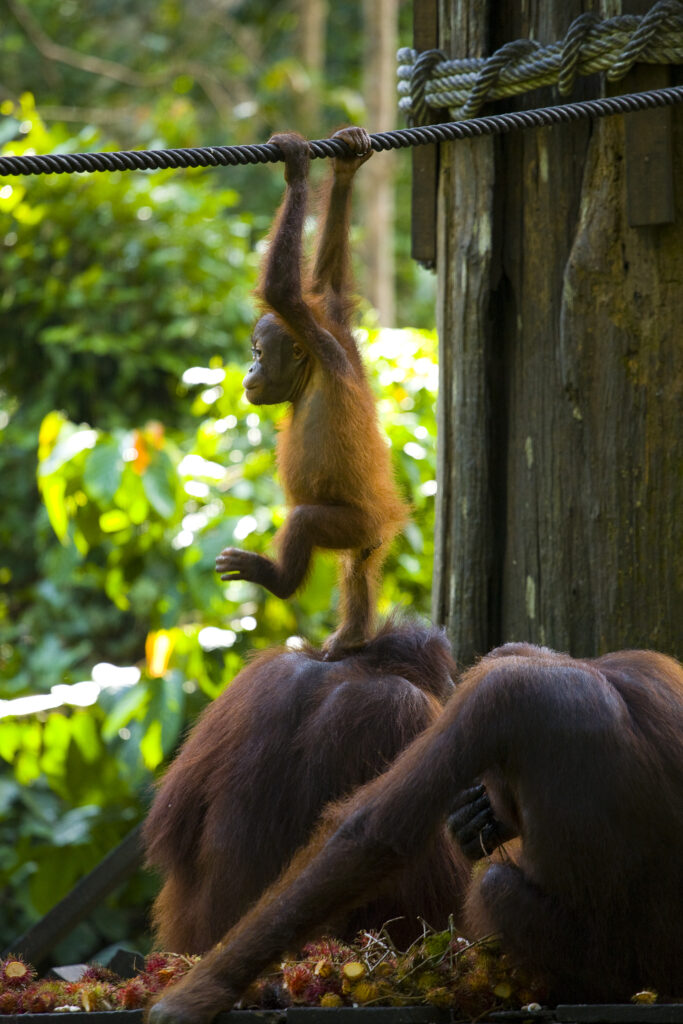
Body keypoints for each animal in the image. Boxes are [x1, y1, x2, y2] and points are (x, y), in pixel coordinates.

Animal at [215, 128, 407, 655]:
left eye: (259, 351)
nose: (250, 369)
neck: (312, 373)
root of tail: (386, 518)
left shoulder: (319, 335)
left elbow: (282, 290)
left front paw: (296, 165)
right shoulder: (334, 325)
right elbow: (328, 282)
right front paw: (344, 165)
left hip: (354, 522)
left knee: (304, 520)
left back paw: (275, 580)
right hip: (365, 540)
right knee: (358, 569)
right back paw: (352, 636)